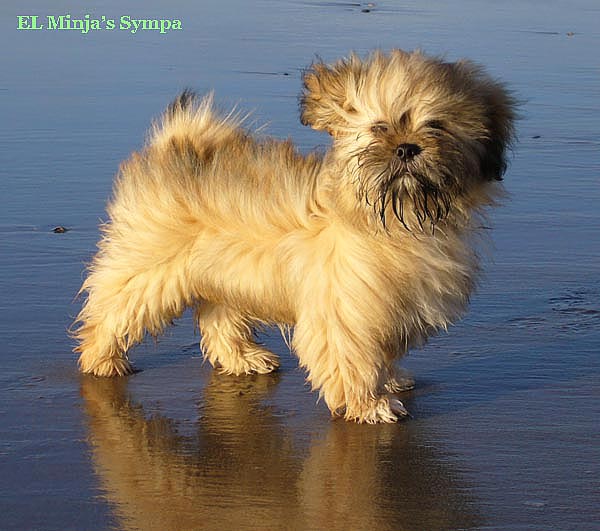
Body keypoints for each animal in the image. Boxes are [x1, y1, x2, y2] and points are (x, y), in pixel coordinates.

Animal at [74, 50, 516, 424]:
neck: (395, 220)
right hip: (149, 263)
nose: (407, 148)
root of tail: (175, 145)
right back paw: (102, 359)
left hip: (227, 272)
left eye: (437, 126)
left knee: (219, 318)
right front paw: (369, 404)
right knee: (113, 308)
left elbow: (382, 349)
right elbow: (354, 354)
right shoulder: (345, 308)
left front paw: (388, 379)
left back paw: (243, 357)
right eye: (379, 127)